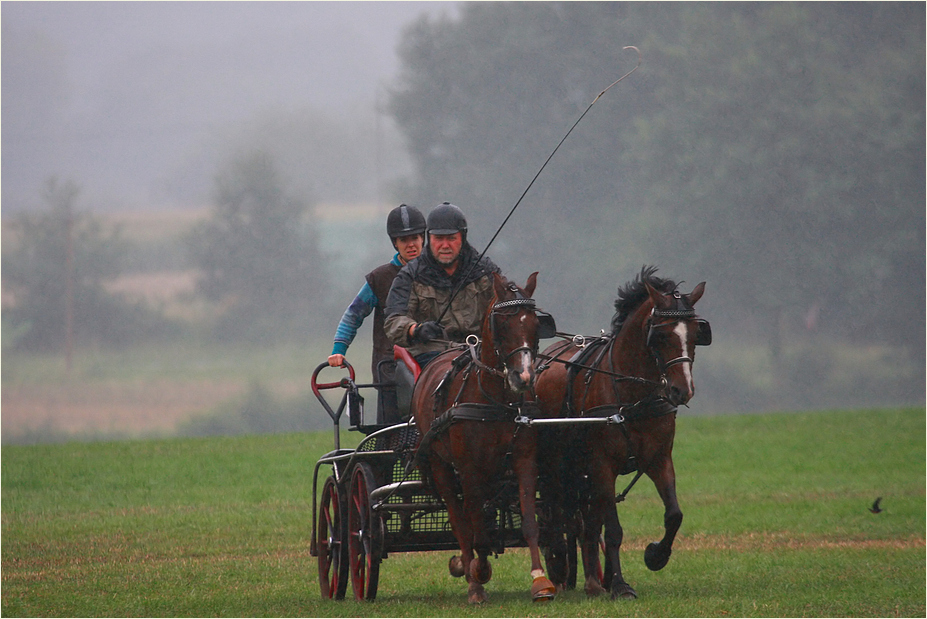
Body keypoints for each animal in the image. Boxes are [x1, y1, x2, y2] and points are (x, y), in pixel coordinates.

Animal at [414, 272, 560, 604]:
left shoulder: (523, 460)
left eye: (536, 325)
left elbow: (530, 522)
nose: (524, 377)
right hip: (441, 466)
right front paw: (477, 575)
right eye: (502, 325)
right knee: (459, 519)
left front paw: (540, 580)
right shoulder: (469, 469)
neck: (497, 400)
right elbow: (475, 531)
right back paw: (470, 573)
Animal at [532, 266, 716, 600]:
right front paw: (619, 584)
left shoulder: (659, 460)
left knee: (586, 522)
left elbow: (674, 515)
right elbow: (614, 530)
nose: (682, 391)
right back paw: (563, 569)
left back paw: (593, 581)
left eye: (697, 334)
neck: (632, 395)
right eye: (660, 335)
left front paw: (655, 555)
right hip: (556, 467)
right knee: (558, 515)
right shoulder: (602, 464)